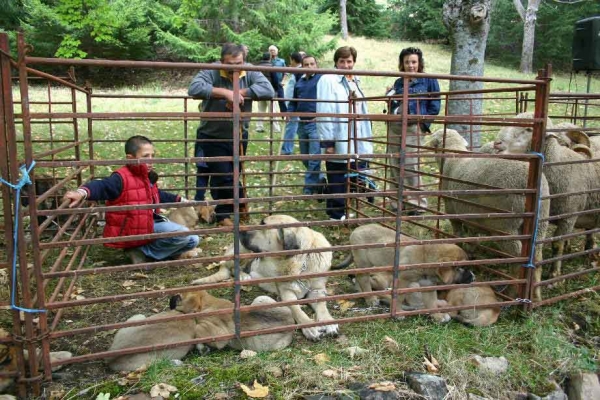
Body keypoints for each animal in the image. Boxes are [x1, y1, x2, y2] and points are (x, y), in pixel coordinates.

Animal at [193, 216, 340, 340]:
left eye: (263, 225)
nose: (240, 230)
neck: (301, 262)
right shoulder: (286, 293)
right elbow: (297, 309)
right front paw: (309, 326)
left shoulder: (317, 290)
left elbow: (322, 305)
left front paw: (328, 322)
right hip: (243, 252)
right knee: (232, 267)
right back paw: (244, 276)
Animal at [332, 223, 474, 324]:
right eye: (463, 268)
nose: (473, 277)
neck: (425, 257)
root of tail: (356, 229)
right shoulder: (402, 280)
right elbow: (399, 298)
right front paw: (398, 313)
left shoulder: (427, 285)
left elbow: (431, 302)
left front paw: (437, 316)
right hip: (364, 263)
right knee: (363, 278)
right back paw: (370, 298)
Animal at [426, 128, 548, 300]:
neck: (452, 157)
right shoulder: (471, 213)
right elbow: (472, 235)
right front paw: (470, 252)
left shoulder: (452, 210)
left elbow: (458, 234)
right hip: (541, 222)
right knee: (537, 257)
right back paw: (536, 296)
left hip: (505, 226)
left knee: (518, 258)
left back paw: (510, 292)